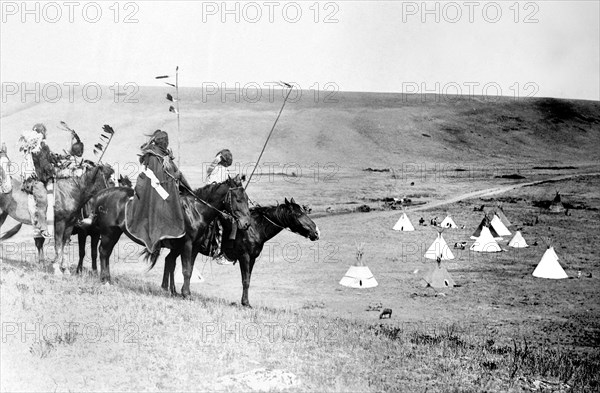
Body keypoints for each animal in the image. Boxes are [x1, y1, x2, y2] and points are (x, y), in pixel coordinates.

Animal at [92, 175, 251, 298]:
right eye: (238, 199)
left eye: (246, 198)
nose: (247, 223)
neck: (196, 211)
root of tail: (101, 195)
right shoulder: (187, 244)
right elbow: (186, 270)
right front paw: (186, 294)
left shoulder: (194, 246)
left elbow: (188, 268)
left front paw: (183, 292)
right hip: (109, 233)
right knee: (103, 252)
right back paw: (104, 280)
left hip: (114, 233)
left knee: (106, 253)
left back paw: (108, 279)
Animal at [159, 196, 318, 306]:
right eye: (298, 214)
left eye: (304, 212)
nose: (316, 232)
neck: (255, 227)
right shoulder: (245, 257)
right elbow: (245, 280)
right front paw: (245, 303)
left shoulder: (252, 258)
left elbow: (248, 279)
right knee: (171, 262)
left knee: (169, 261)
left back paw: (171, 291)